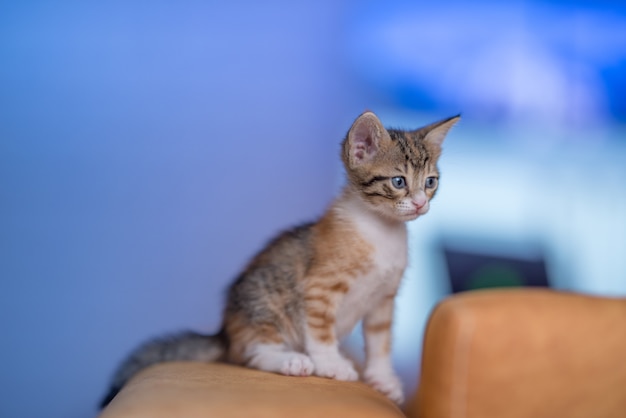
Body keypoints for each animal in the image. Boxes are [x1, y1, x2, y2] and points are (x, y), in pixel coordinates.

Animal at [98, 111, 458, 408]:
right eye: (398, 182)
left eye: (430, 182)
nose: (420, 203)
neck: (382, 231)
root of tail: (224, 332)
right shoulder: (320, 287)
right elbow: (320, 331)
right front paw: (331, 363)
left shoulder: (384, 298)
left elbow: (380, 341)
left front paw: (382, 378)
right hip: (263, 305)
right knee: (248, 354)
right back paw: (290, 360)